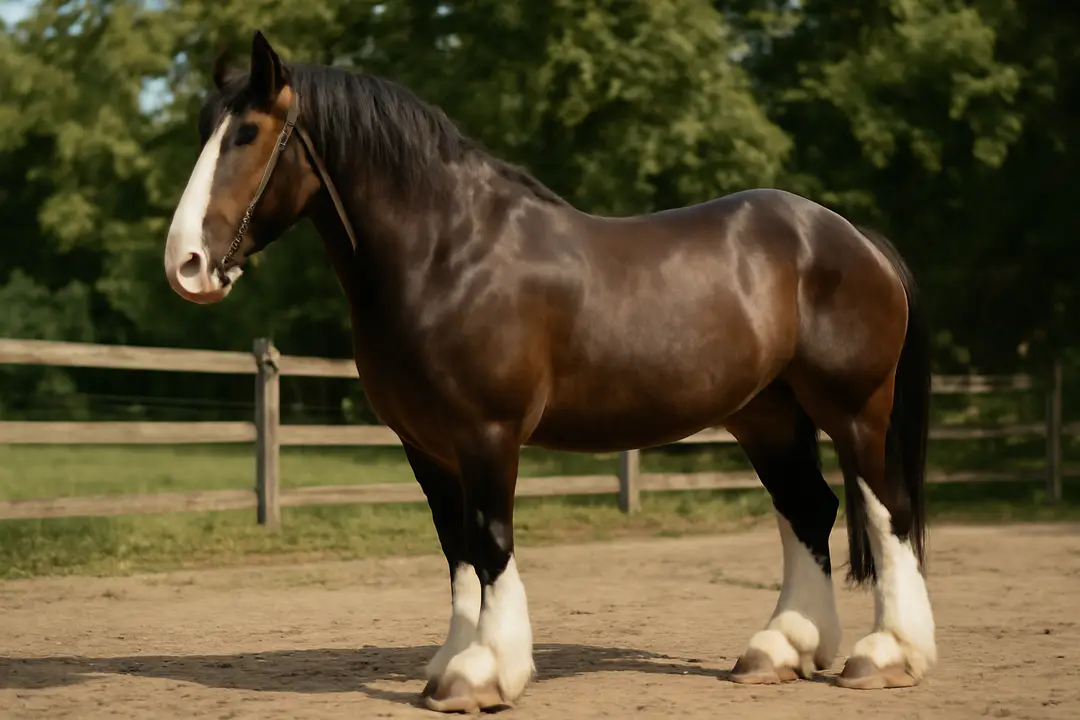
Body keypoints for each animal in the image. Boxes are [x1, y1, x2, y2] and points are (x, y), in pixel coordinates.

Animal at [163, 30, 937, 712]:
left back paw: (887, 656)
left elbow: (490, 542)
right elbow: (457, 549)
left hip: (855, 408)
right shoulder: (427, 446)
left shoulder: (487, 434)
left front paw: (484, 674)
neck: (448, 252)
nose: (186, 265)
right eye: (204, 129)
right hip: (768, 417)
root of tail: (852, 235)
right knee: (809, 509)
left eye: (247, 133)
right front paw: (450, 666)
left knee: (885, 510)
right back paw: (780, 651)